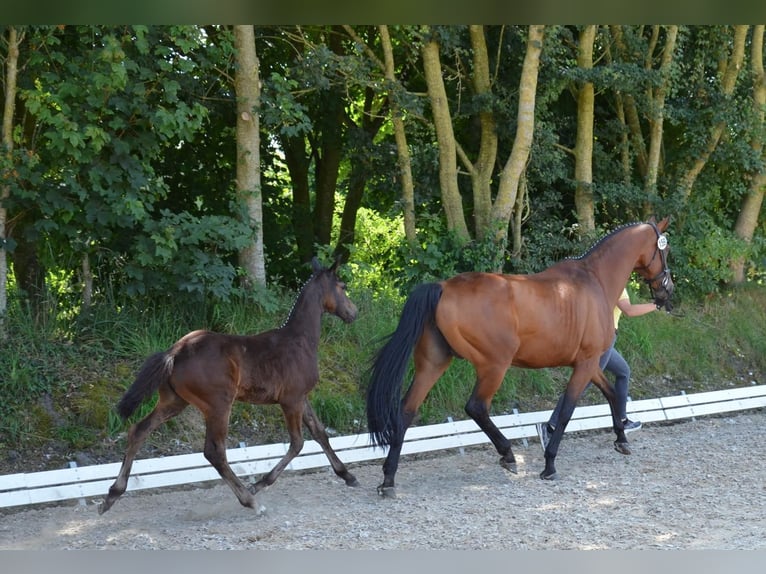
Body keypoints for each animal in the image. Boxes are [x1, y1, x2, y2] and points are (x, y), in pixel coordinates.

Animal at [98, 257, 360, 514]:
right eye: (342, 286)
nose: (354, 313)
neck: (300, 340)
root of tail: (176, 350)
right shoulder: (291, 400)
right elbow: (297, 443)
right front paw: (258, 485)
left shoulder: (301, 398)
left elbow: (320, 433)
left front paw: (347, 475)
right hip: (218, 405)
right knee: (215, 452)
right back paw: (250, 501)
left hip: (174, 402)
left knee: (139, 431)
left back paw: (111, 496)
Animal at [366, 217, 673, 497]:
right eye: (664, 249)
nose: (667, 291)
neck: (595, 279)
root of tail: (443, 286)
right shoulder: (586, 364)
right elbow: (568, 410)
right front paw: (549, 465)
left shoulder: (589, 364)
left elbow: (609, 394)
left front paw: (621, 439)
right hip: (494, 366)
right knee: (476, 407)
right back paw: (508, 455)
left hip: (433, 364)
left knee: (406, 411)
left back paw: (388, 480)